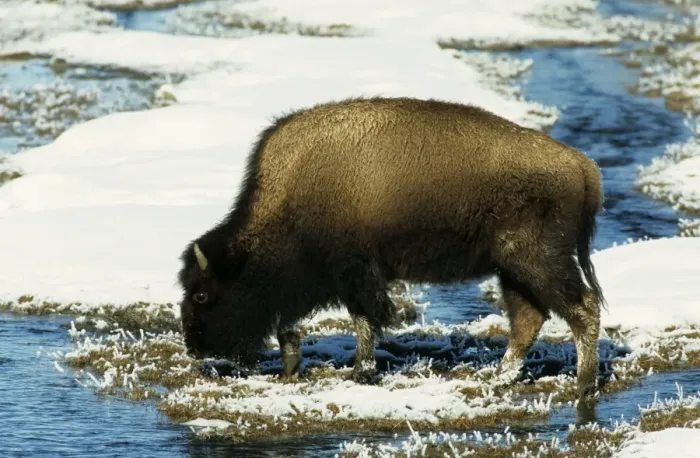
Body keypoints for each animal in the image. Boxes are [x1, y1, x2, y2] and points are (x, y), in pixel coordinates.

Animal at [177, 96, 605, 403]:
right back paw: (498, 377)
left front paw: (361, 372)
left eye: (202, 294)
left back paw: (583, 385)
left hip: (536, 261)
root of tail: (583, 167)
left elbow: (364, 319)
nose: (196, 346)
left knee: (581, 308)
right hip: (512, 270)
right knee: (528, 319)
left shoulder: (355, 274)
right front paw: (294, 367)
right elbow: (302, 323)